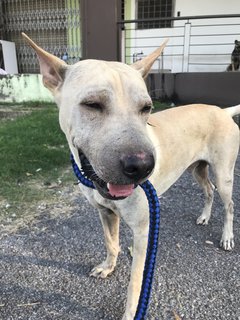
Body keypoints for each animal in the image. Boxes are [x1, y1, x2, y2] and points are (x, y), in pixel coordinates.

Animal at [22, 33, 240, 318]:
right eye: (92, 104)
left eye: (146, 108)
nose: (142, 166)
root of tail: (223, 111)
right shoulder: (105, 212)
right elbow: (111, 243)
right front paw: (108, 266)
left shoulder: (143, 233)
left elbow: (135, 283)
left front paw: (130, 311)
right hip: (197, 169)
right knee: (208, 190)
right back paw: (204, 216)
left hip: (224, 173)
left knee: (229, 204)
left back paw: (227, 237)